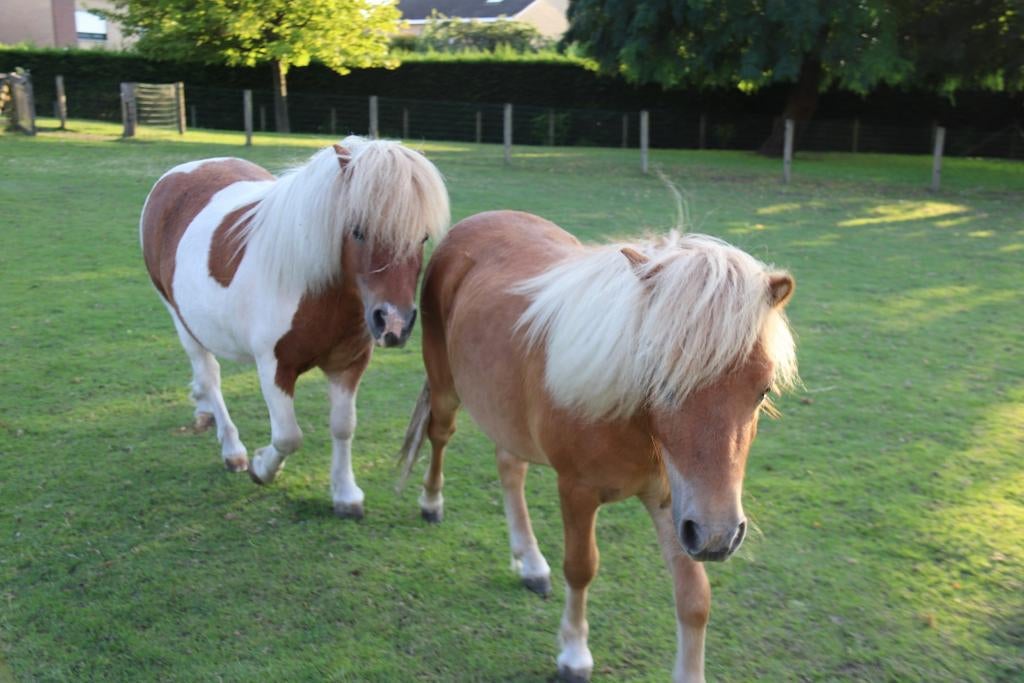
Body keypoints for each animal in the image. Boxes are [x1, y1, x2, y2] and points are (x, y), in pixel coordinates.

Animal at [141, 137, 449, 518]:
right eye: (358, 230)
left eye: (422, 237)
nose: (394, 323)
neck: (315, 287)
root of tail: (177, 173)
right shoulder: (275, 366)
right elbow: (288, 436)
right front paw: (261, 469)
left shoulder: (348, 365)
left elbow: (343, 427)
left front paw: (345, 494)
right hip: (181, 319)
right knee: (210, 377)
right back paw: (233, 450)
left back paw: (203, 412)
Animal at [398, 211, 797, 682]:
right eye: (661, 380)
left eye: (762, 390)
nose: (719, 536)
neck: (634, 422)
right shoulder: (578, 491)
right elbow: (581, 568)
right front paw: (573, 654)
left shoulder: (676, 503)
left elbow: (695, 597)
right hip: (445, 390)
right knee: (440, 437)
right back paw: (431, 503)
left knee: (510, 470)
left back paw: (530, 564)